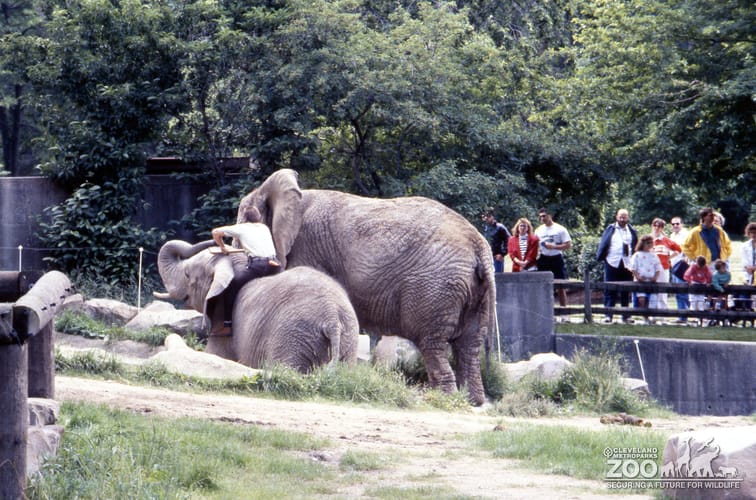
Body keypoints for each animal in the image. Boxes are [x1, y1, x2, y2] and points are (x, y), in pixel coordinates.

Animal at [155, 239, 359, 372]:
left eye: (187, 275)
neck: (238, 265)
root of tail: (331, 318)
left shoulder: (223, 327)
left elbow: (216, 354)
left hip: (293, 336)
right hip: (348, 339)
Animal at [236, 169, 496, 405]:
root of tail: (479, 246)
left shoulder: (307, 247)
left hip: (435, 286)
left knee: (433, 344)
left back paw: (444, 400)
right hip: (473, 289)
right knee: (470, 345)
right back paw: (473, 401)